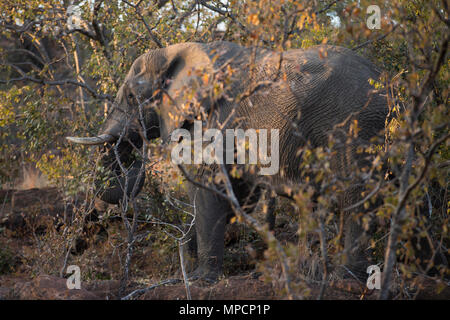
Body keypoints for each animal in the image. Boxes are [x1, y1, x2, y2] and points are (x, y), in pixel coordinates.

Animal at [67, 41, 390, 282]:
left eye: (133, 97)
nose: (133, 149)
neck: (178, 52)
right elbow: (236, 192)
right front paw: (188, 261)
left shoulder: (216, 120)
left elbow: (209, 188)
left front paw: (200, 279)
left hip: (354, 125)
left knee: (356, 196)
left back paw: (347, 277)